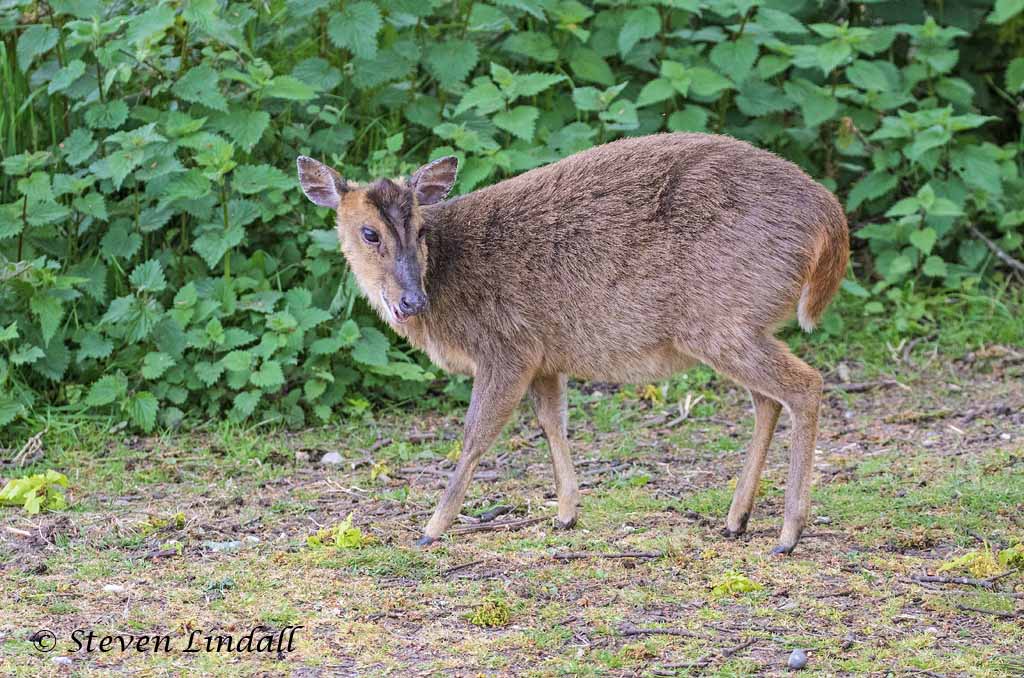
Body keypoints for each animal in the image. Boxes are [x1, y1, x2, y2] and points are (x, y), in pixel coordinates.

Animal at [296, 134, 847, 557]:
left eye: (420, 227)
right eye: (368, 232)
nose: (411, 300)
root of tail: (830, 219)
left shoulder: (506, 346)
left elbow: (475, 436)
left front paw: (431, 529)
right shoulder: (544, 354)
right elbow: (552, 422)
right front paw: (565, 513)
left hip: (722, 321)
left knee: (805, 385)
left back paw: (788, 534)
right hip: (739, 325)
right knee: (767, 400)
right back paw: (737, 519)